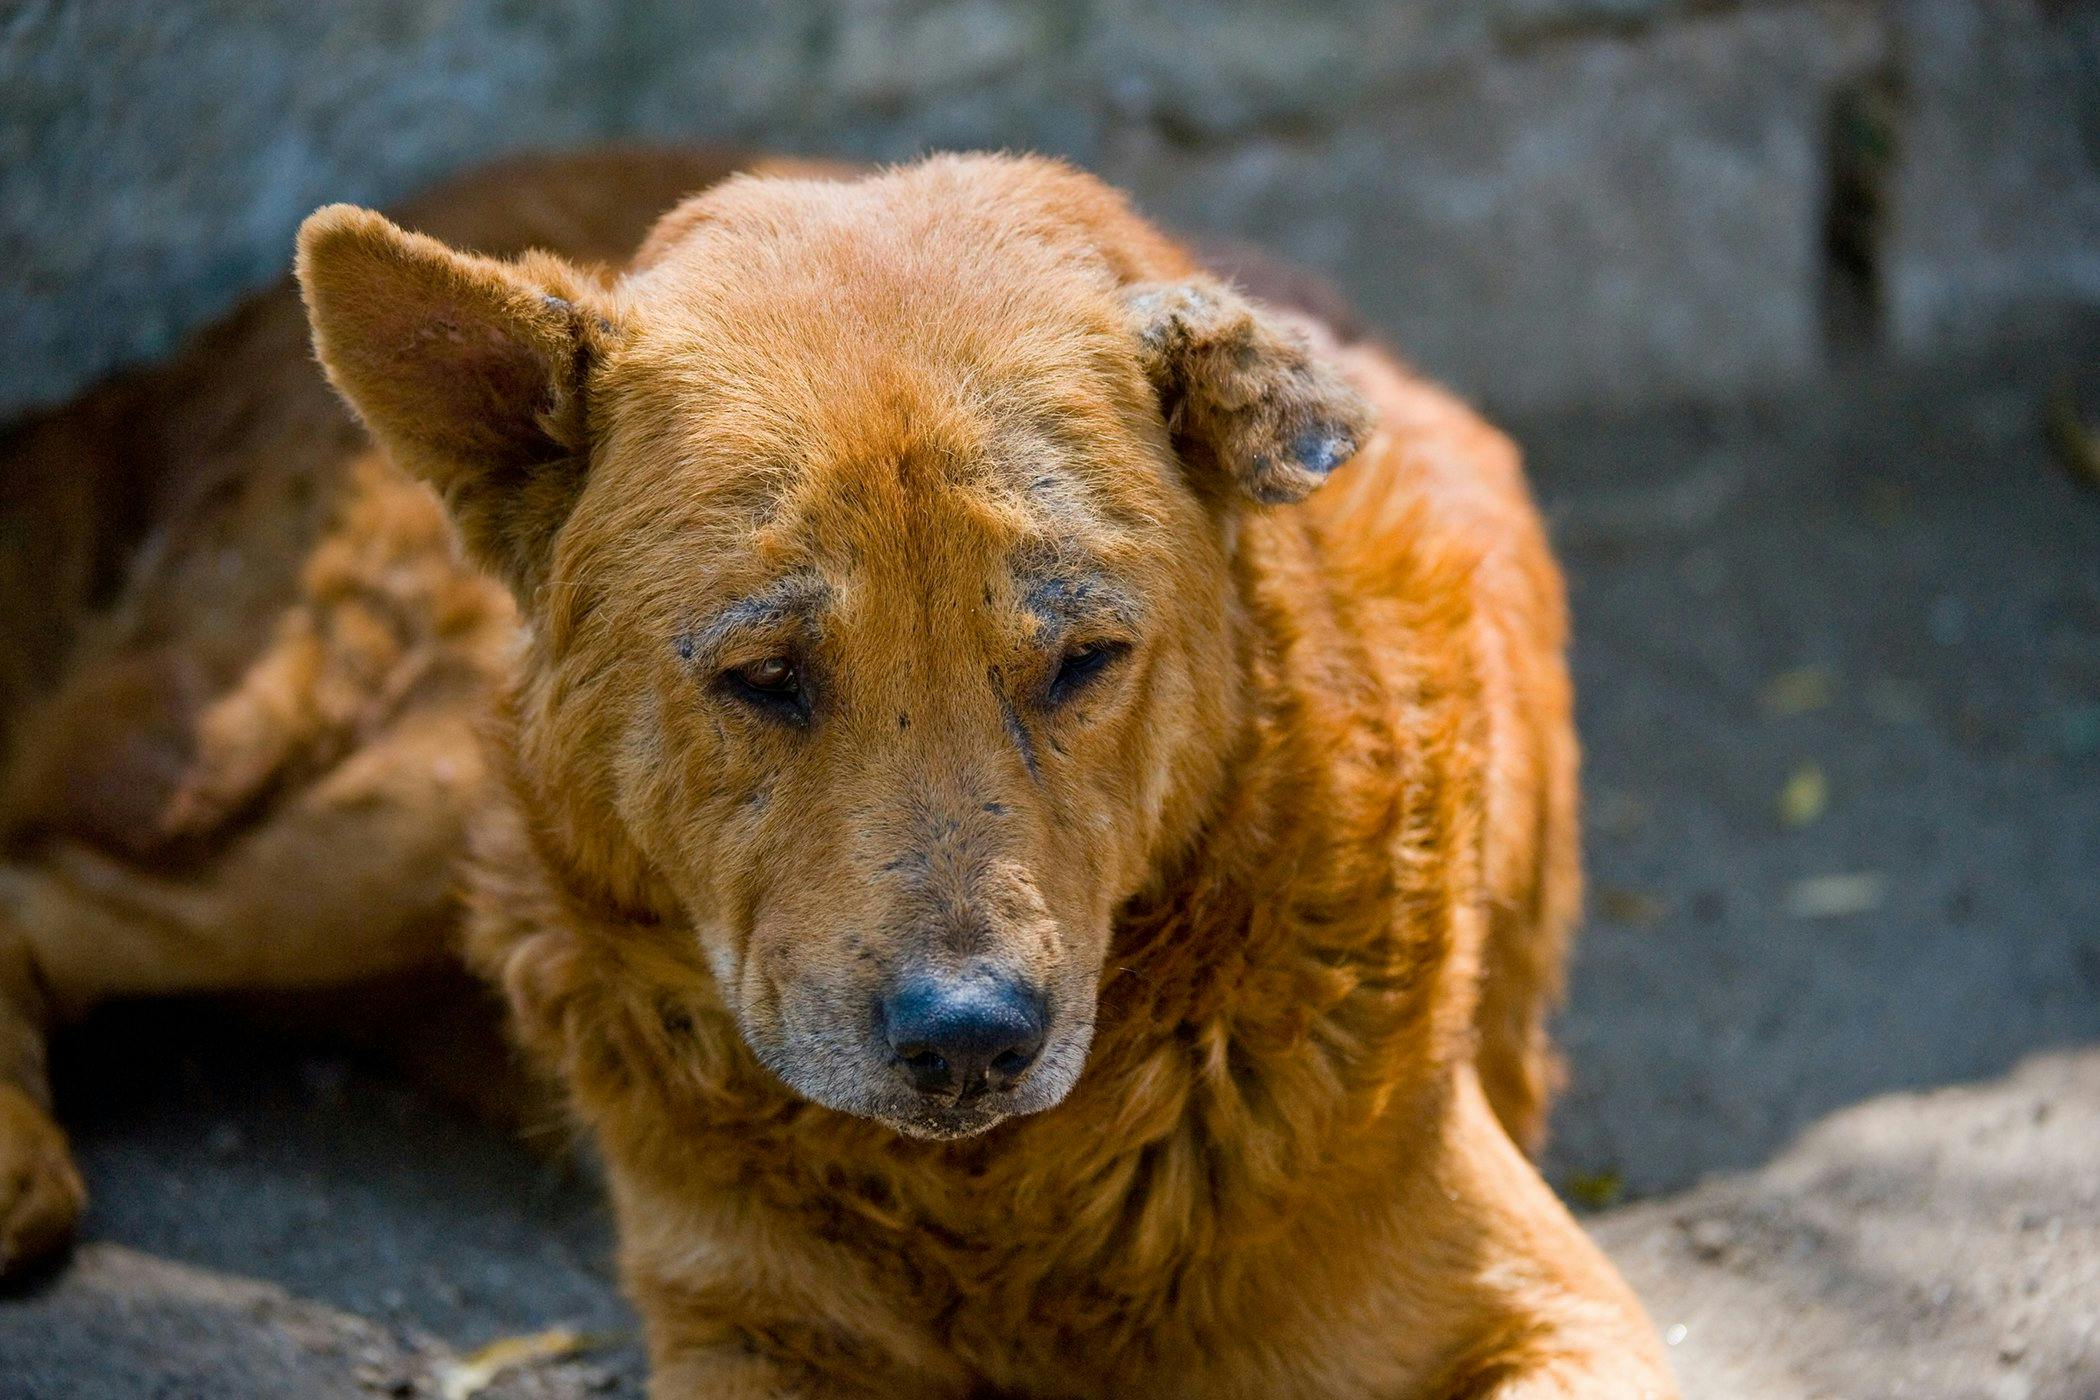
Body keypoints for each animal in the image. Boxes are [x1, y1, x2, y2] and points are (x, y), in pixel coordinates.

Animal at [0, 147, 1671, 1393]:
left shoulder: (1552, 1306)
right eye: (764, 678)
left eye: (1082, 661)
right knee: (48, 885)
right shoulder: (744, 1338)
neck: (997, 1207)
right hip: (395, 808)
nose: (968, 1042)